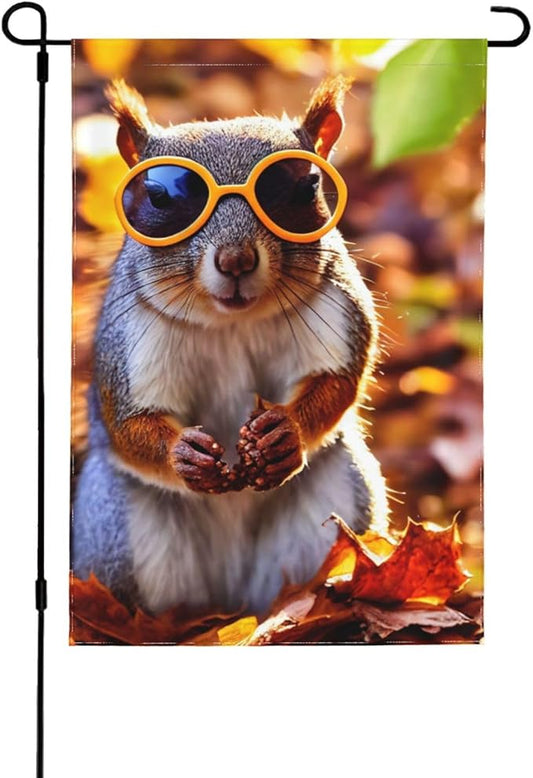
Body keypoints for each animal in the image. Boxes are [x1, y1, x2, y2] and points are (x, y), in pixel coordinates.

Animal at [72, 76, 389, 616]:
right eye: (159, 196)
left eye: (304, 186)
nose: (236, 259)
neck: (231, 322)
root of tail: (231, 600)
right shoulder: (128, 342)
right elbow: (127, 421)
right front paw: (182, 454)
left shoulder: (337, 306)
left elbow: (339, 380)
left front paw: (285, 434)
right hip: (116, 530)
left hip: (340, 496)